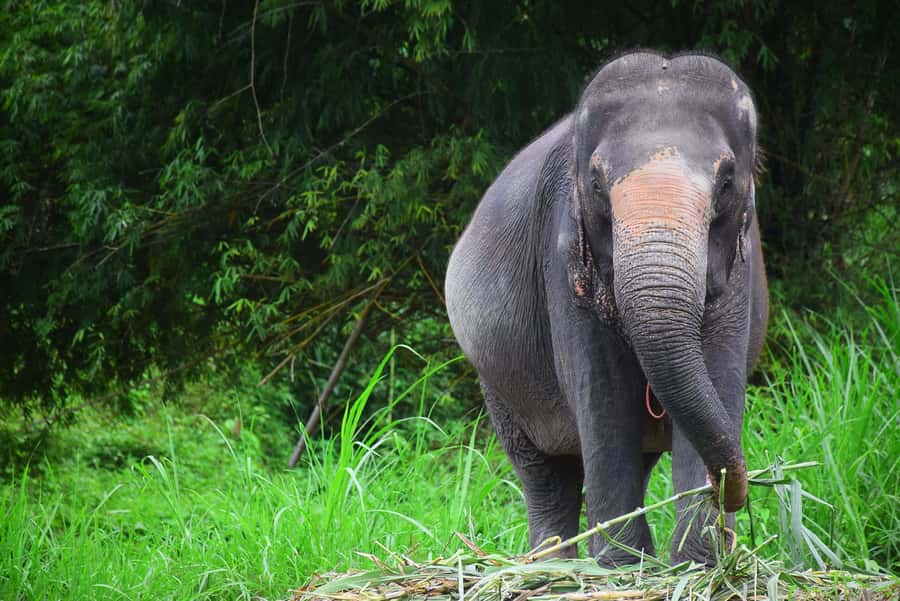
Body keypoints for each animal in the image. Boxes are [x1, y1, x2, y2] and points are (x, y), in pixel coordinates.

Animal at [444, 51, 768, 566]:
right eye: (597, 184)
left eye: (725, 181)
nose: (736, 491)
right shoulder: (563, 257)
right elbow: (604, 395)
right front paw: (622, 566)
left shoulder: (739, 270)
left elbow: (719, 374)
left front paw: (700, 563)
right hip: (497, 381)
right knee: (546, 474)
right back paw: (553, 567)